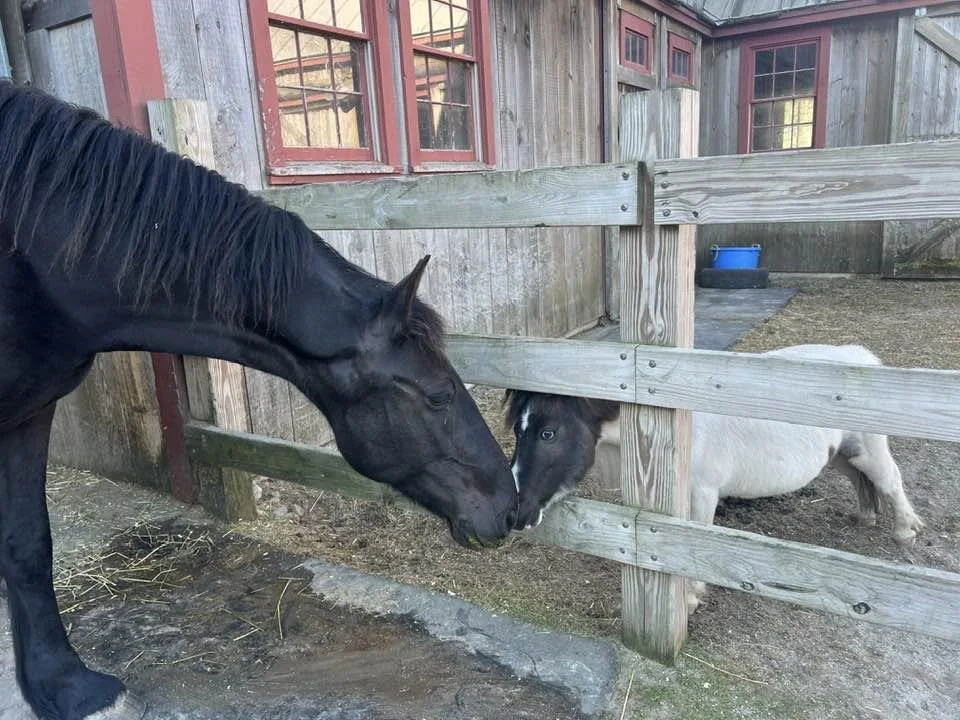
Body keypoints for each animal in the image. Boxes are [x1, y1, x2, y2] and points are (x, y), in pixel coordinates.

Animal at [0, 81, 519, 719]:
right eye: (440, 394)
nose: (510, 508)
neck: (36, 262)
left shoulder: (30, 411)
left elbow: (28, 543)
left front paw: (60, 685)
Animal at [504, 343, 923, 613]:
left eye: (548, 433)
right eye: (518, 432)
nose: (516, 512)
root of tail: (864, 357)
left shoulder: (702, 495)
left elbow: (692, 549)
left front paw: (689, 600)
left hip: (869, 449)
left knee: (890, 480)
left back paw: (905, 530)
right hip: (840, 454)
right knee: (860, 480)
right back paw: (865, 515)